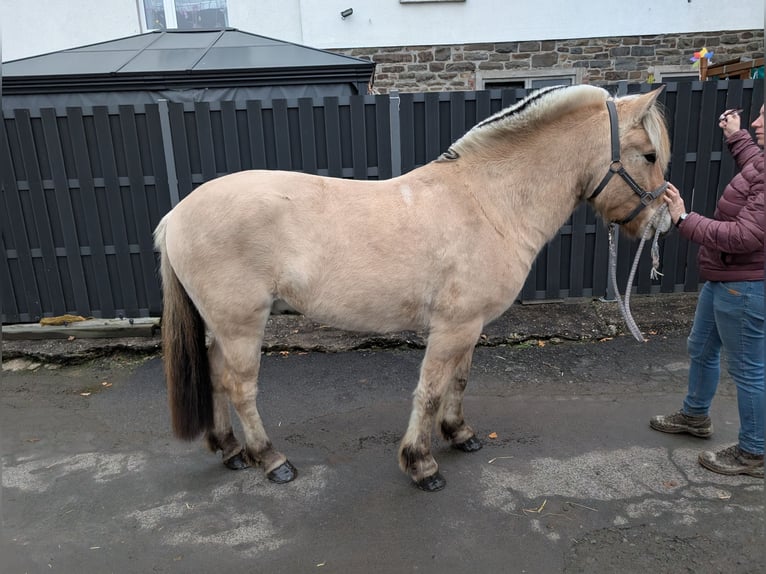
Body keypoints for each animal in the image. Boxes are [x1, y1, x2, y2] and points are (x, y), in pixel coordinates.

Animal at [154, 84, 672, 490]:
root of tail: (175, 216)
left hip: (222, 327)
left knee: (216, 376)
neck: (488, 202)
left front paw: (460, 435)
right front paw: (421, 464)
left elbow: (457, 382)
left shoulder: (470, 327)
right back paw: (270, 459)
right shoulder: (452, 328)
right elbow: (430, 389)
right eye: (648, 155)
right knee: (240, 388)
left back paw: (229, 450)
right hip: (242, 325)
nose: (668, 220)